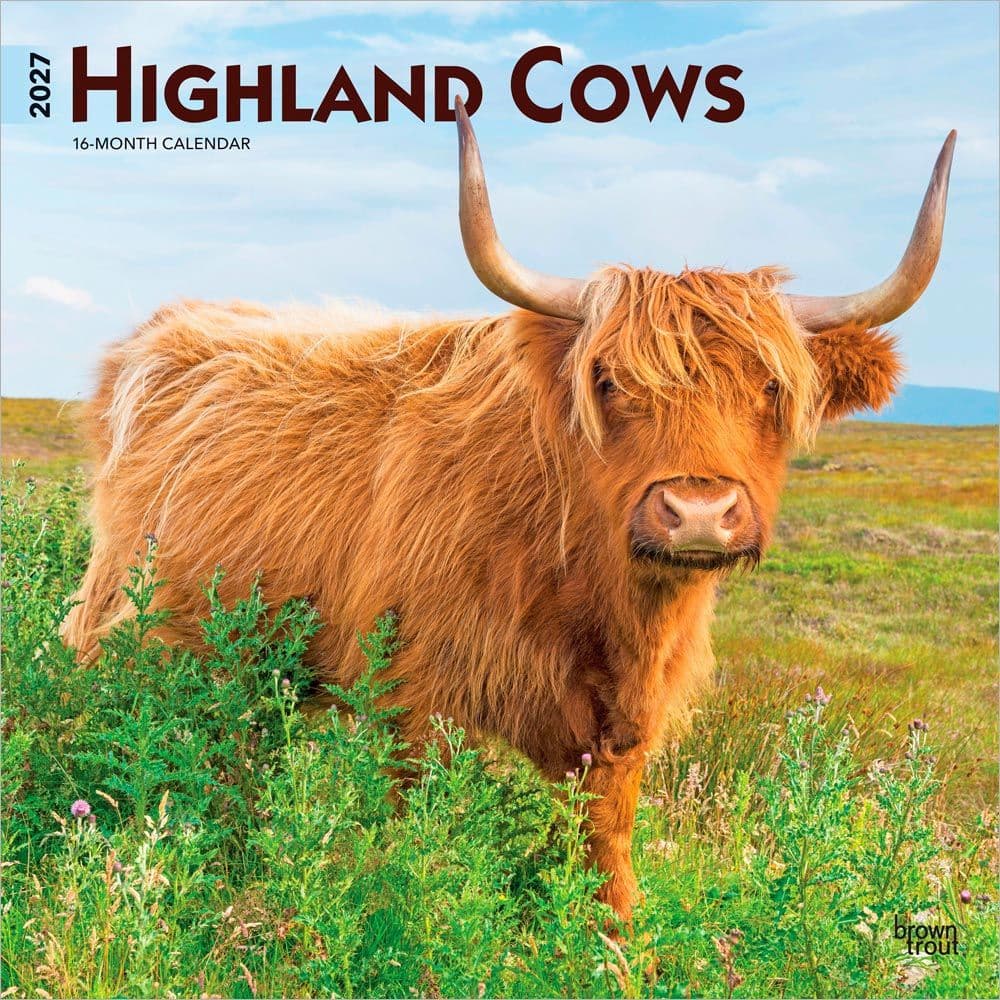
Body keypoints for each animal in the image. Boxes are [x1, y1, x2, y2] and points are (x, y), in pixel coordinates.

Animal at [63, 101, 955, 921]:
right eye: (609, 381)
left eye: (771, 386)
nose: (698, 511)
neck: (589, 589)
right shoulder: (412, 691)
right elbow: (416, 838)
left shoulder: (621, 729)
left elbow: (605, 852)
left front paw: (618, 949)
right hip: (127, 624)